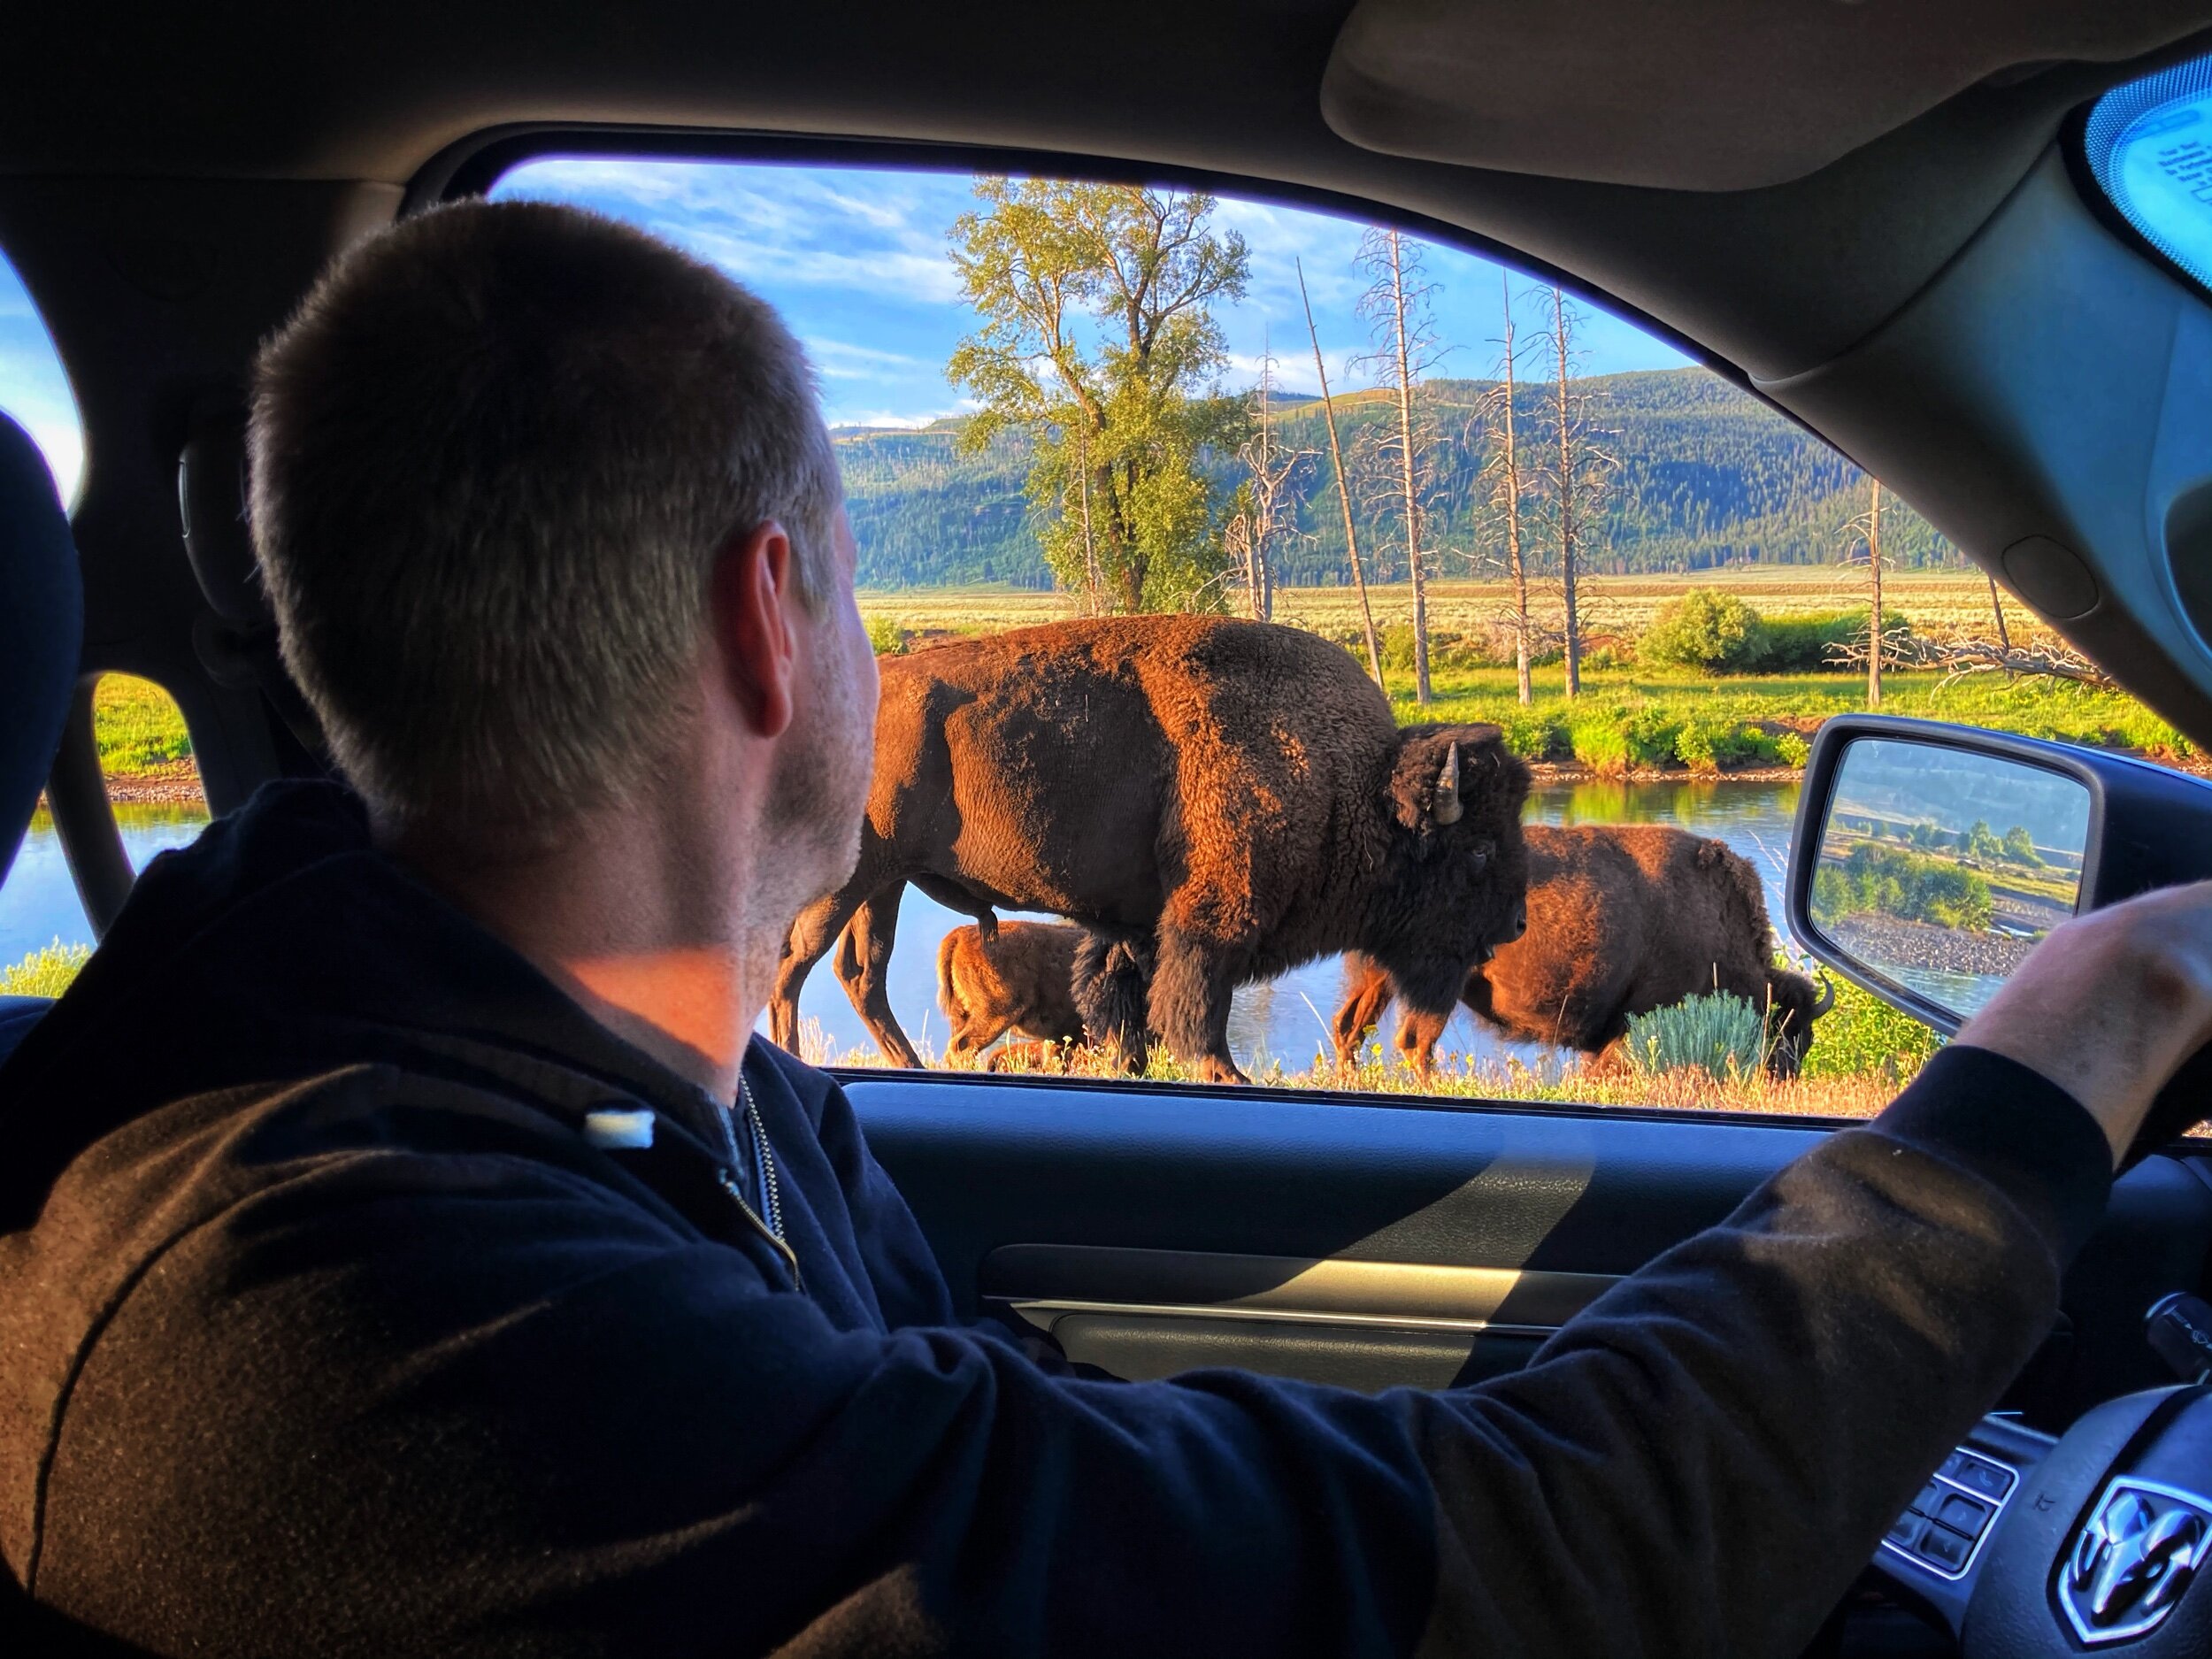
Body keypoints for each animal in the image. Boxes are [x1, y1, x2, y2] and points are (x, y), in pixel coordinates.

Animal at [1327, 827, 1832, 1079]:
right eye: (1788, 1030)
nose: (1785, 1078)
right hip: (1437, 986)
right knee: (1415, 1042)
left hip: (1375, 980)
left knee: (1351, 1027)